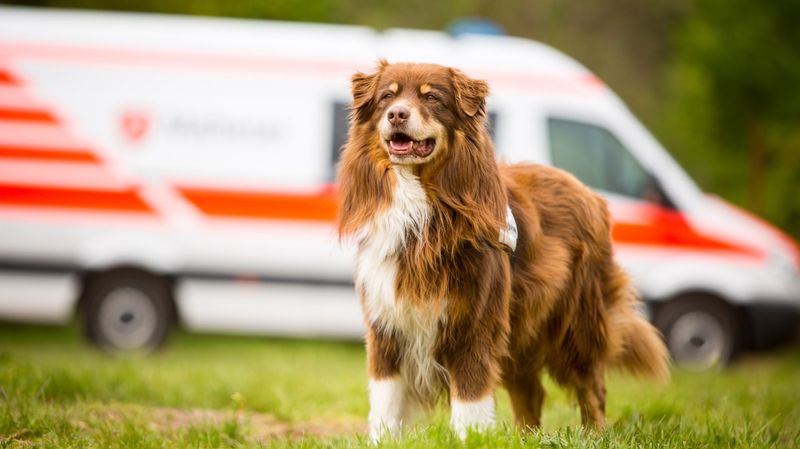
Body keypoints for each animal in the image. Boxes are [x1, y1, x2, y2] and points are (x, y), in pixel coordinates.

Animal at [336, 60, 668, 440]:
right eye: (387, 97)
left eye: (432, 98)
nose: (397, 114)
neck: (422, 206)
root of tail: (589, 191)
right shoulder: (386, 322)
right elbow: (385, 401)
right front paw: (384, 440)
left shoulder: (474, 321)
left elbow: (470, 398)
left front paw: (469, 439)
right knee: (531, 391)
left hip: (575, 319)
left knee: (591, 385)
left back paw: (594, 436)